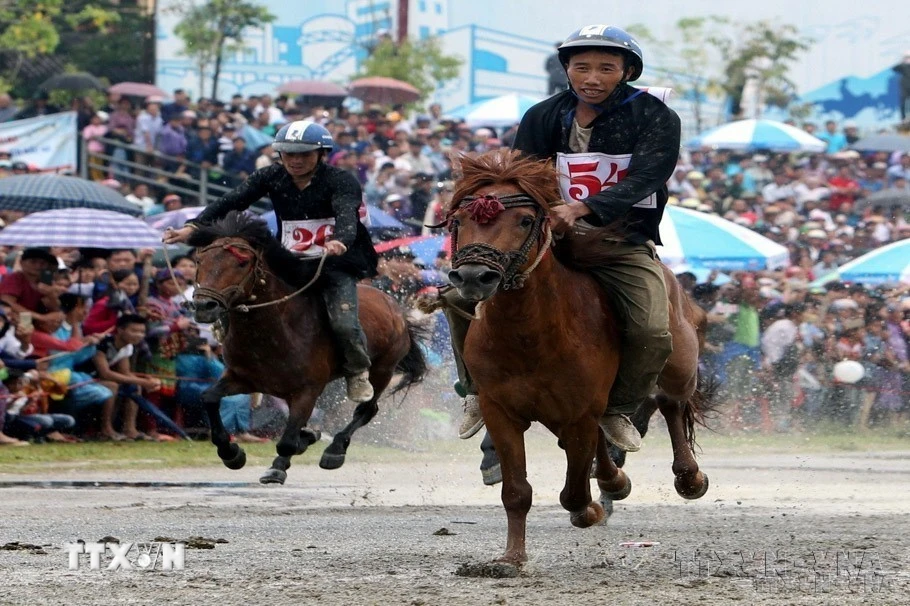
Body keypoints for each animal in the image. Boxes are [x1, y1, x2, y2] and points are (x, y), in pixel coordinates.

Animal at [188, 213, 428, 484]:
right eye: (200, 260)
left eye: (242, 263)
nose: (204, 306)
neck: (275, 332)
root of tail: (397, 310)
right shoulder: (242, 378)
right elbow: (209, 398)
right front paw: (231, 452)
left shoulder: (307, 390)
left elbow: (287, 440)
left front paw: (278, 466)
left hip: (383, 370)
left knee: (367, 408)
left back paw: (335, 449)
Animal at [448, 150, 712, 568]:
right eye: (459, 220)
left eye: (525, 220)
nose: (473, 276)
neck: (529, 337)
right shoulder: (500, 411)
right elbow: (517, 491)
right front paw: (511, 558)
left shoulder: (579, 415)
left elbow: (573, 493)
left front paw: (588, 510)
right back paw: (614, 481)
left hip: (678, 362)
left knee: (669, 402)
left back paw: (688, 477)